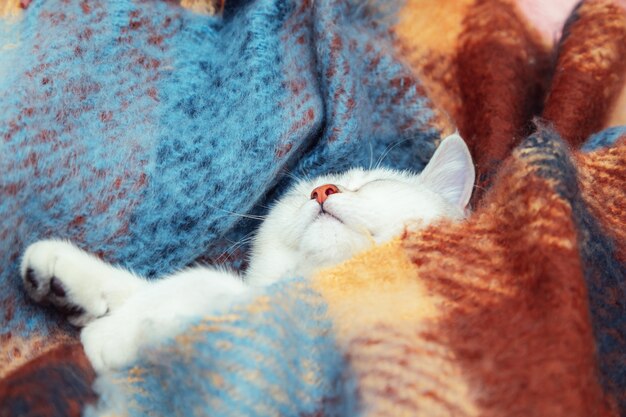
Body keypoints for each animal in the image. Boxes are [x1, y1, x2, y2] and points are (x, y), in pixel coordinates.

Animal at [22, 133, 476, 370]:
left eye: (375, 183)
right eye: (301, 193)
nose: (322, 190)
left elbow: (212, 294)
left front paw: (119, 333)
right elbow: (190, 285)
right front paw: (74, 282)